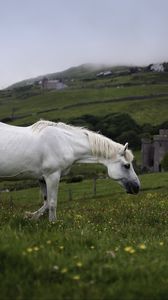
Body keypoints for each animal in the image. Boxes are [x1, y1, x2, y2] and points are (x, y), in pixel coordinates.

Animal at [0, 119, 140, 220]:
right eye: (127, 165)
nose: (137, 187)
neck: (65, 142)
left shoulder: (42, 178)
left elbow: (46, 203)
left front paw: (31, 216)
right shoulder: (52, 176)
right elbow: (52, 203)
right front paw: (52, 223)